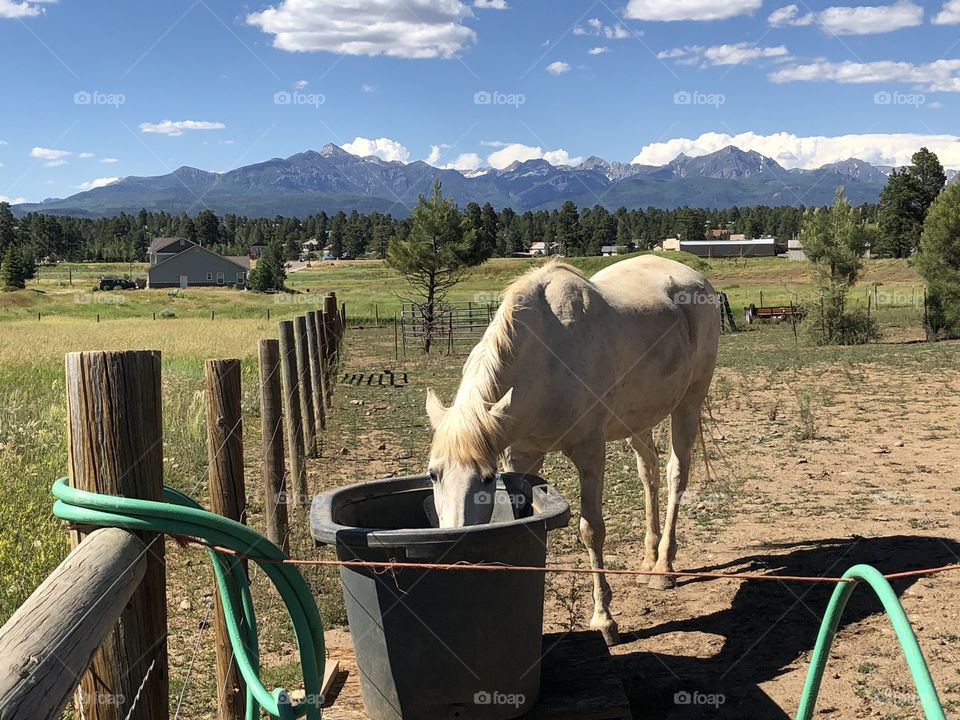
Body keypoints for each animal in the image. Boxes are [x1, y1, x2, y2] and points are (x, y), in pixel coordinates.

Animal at [424, 254, 720, 645]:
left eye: (487, 478)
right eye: (433, 474)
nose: (450, 549)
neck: (545, 359)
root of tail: (697, 279)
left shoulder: (589, 451)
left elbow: (591, 530)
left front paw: (604, 619)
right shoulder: (522, 455)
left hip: (688, 403)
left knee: (676, 476)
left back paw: (663, 568)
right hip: (637, 420)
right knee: (649, 473)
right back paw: (647, 559)